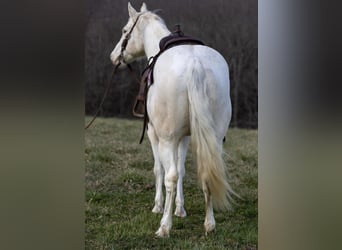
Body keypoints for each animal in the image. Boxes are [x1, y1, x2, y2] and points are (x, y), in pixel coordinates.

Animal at [111, 1, 234, 237]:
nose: (114, 58)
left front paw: (159, 207)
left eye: (124, 31)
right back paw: (209, 224)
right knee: (208, 174)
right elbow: (183, 170)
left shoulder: (155, 134)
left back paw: (164, 227)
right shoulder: (185, 137)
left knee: (171, 175)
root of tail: (195, 64)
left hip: (166, 139)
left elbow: (160, 170)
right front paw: (180, 209)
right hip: (213, 138)